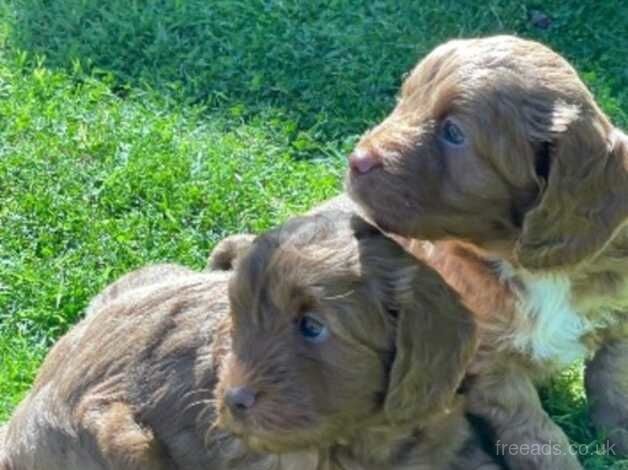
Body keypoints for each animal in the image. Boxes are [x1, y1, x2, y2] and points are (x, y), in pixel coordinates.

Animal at [346, 35, 628, 468]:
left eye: (453, 132)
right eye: (404, 99)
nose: (356, 159)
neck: (528, 266)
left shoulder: (616, 312)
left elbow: (612, 383)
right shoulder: (494, 366)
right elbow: (539, 436)